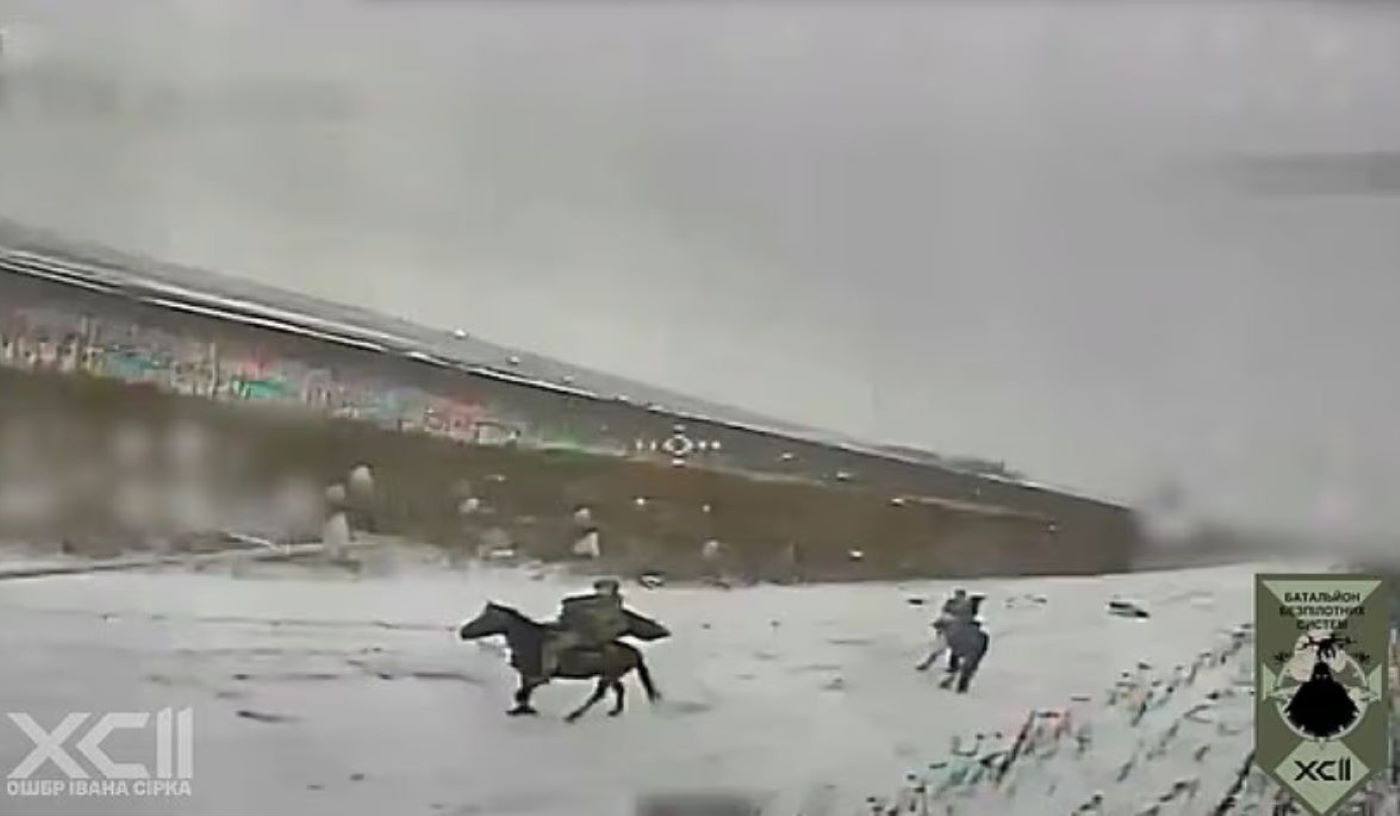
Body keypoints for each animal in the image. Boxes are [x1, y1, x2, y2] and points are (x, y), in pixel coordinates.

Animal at [458, 601, 666, 722]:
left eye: (485, 618)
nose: (463, 632)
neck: (531, 640)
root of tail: (634, 652)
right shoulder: (527, 674)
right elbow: (525, 691)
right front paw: (521, 710)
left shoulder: (538, 675)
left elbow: (524, 691)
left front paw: (523, 708)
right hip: (610, 675)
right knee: (619, 690)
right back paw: (615, 711)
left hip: (608, 676)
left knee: (598, 695)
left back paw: (573, 716)